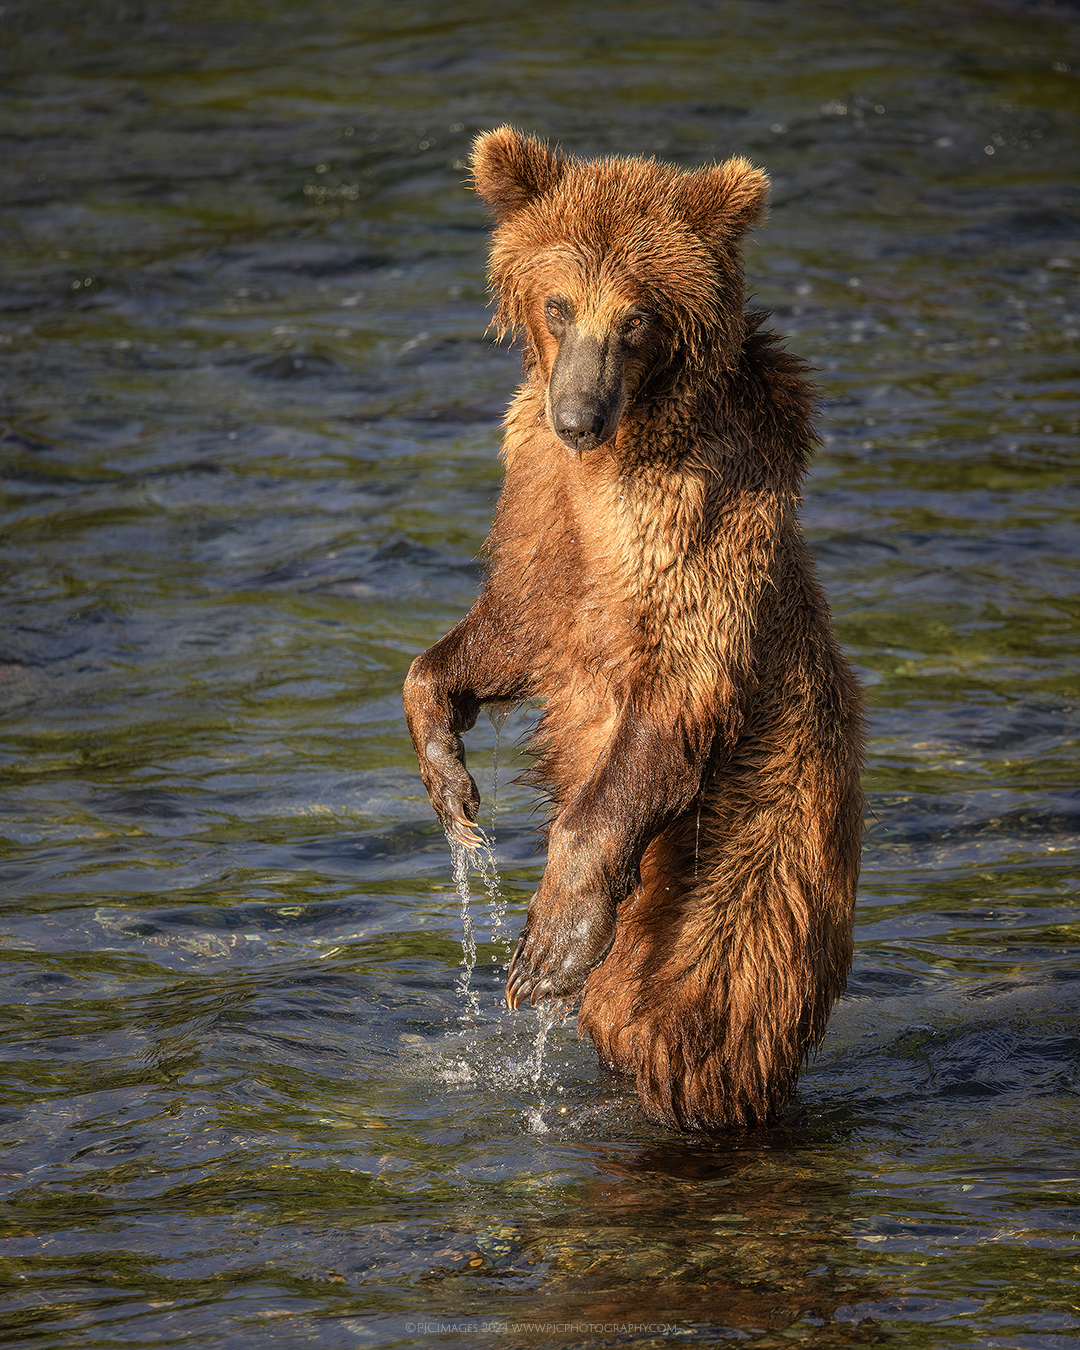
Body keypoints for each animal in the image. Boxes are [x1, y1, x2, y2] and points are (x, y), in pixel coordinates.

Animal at [403, 125, 863, 1133]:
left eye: (637, 318)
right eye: (558, 302)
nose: (579, 414)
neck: (611, 461)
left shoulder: (691, 527)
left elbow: (677, 681)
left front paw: (545, 950)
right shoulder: (541, 504)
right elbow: (513, 629)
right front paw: (452, 787)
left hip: (746, 856)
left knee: (706, 1003)